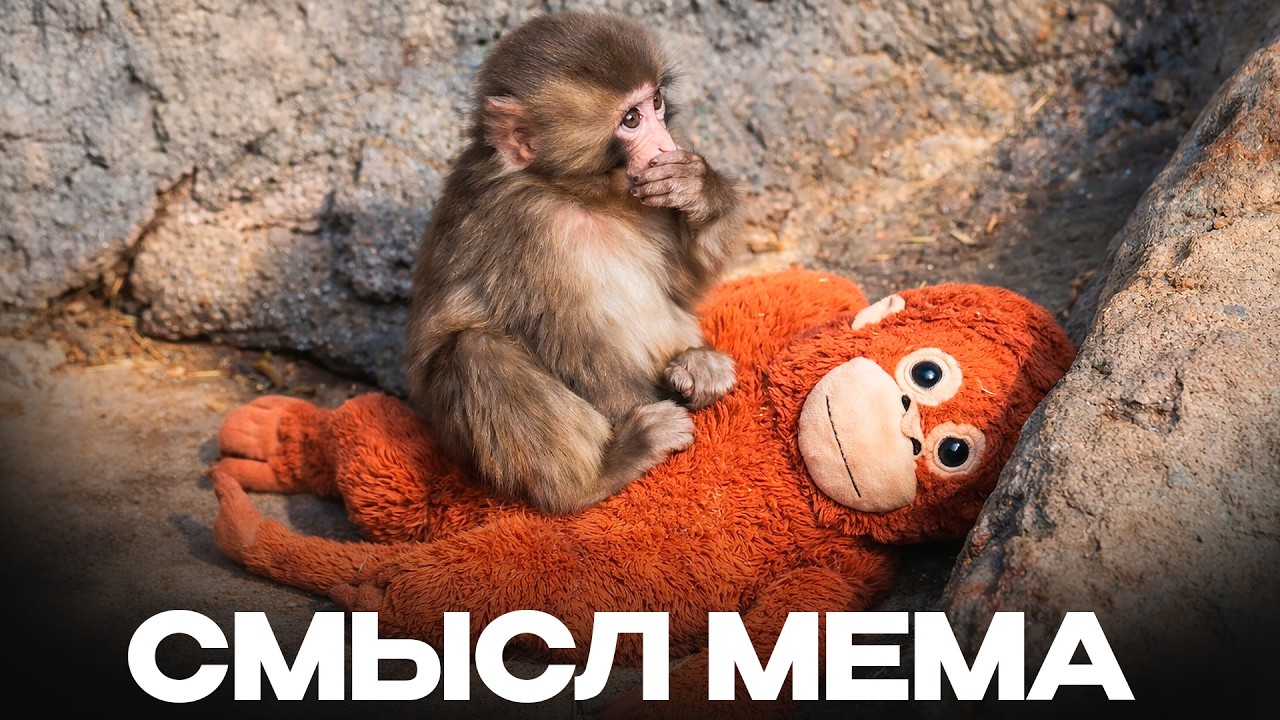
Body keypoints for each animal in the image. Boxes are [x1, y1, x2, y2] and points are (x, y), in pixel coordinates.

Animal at [403, 11, 743, 515]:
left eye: (656, 102)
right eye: (630, 119)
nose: (664, 145)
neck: (573, 192)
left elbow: (684, 287)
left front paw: (697, 189)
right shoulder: (525, 226)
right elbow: (568, 337)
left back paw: (698, 364)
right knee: (474, 353)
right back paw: (600, 475)